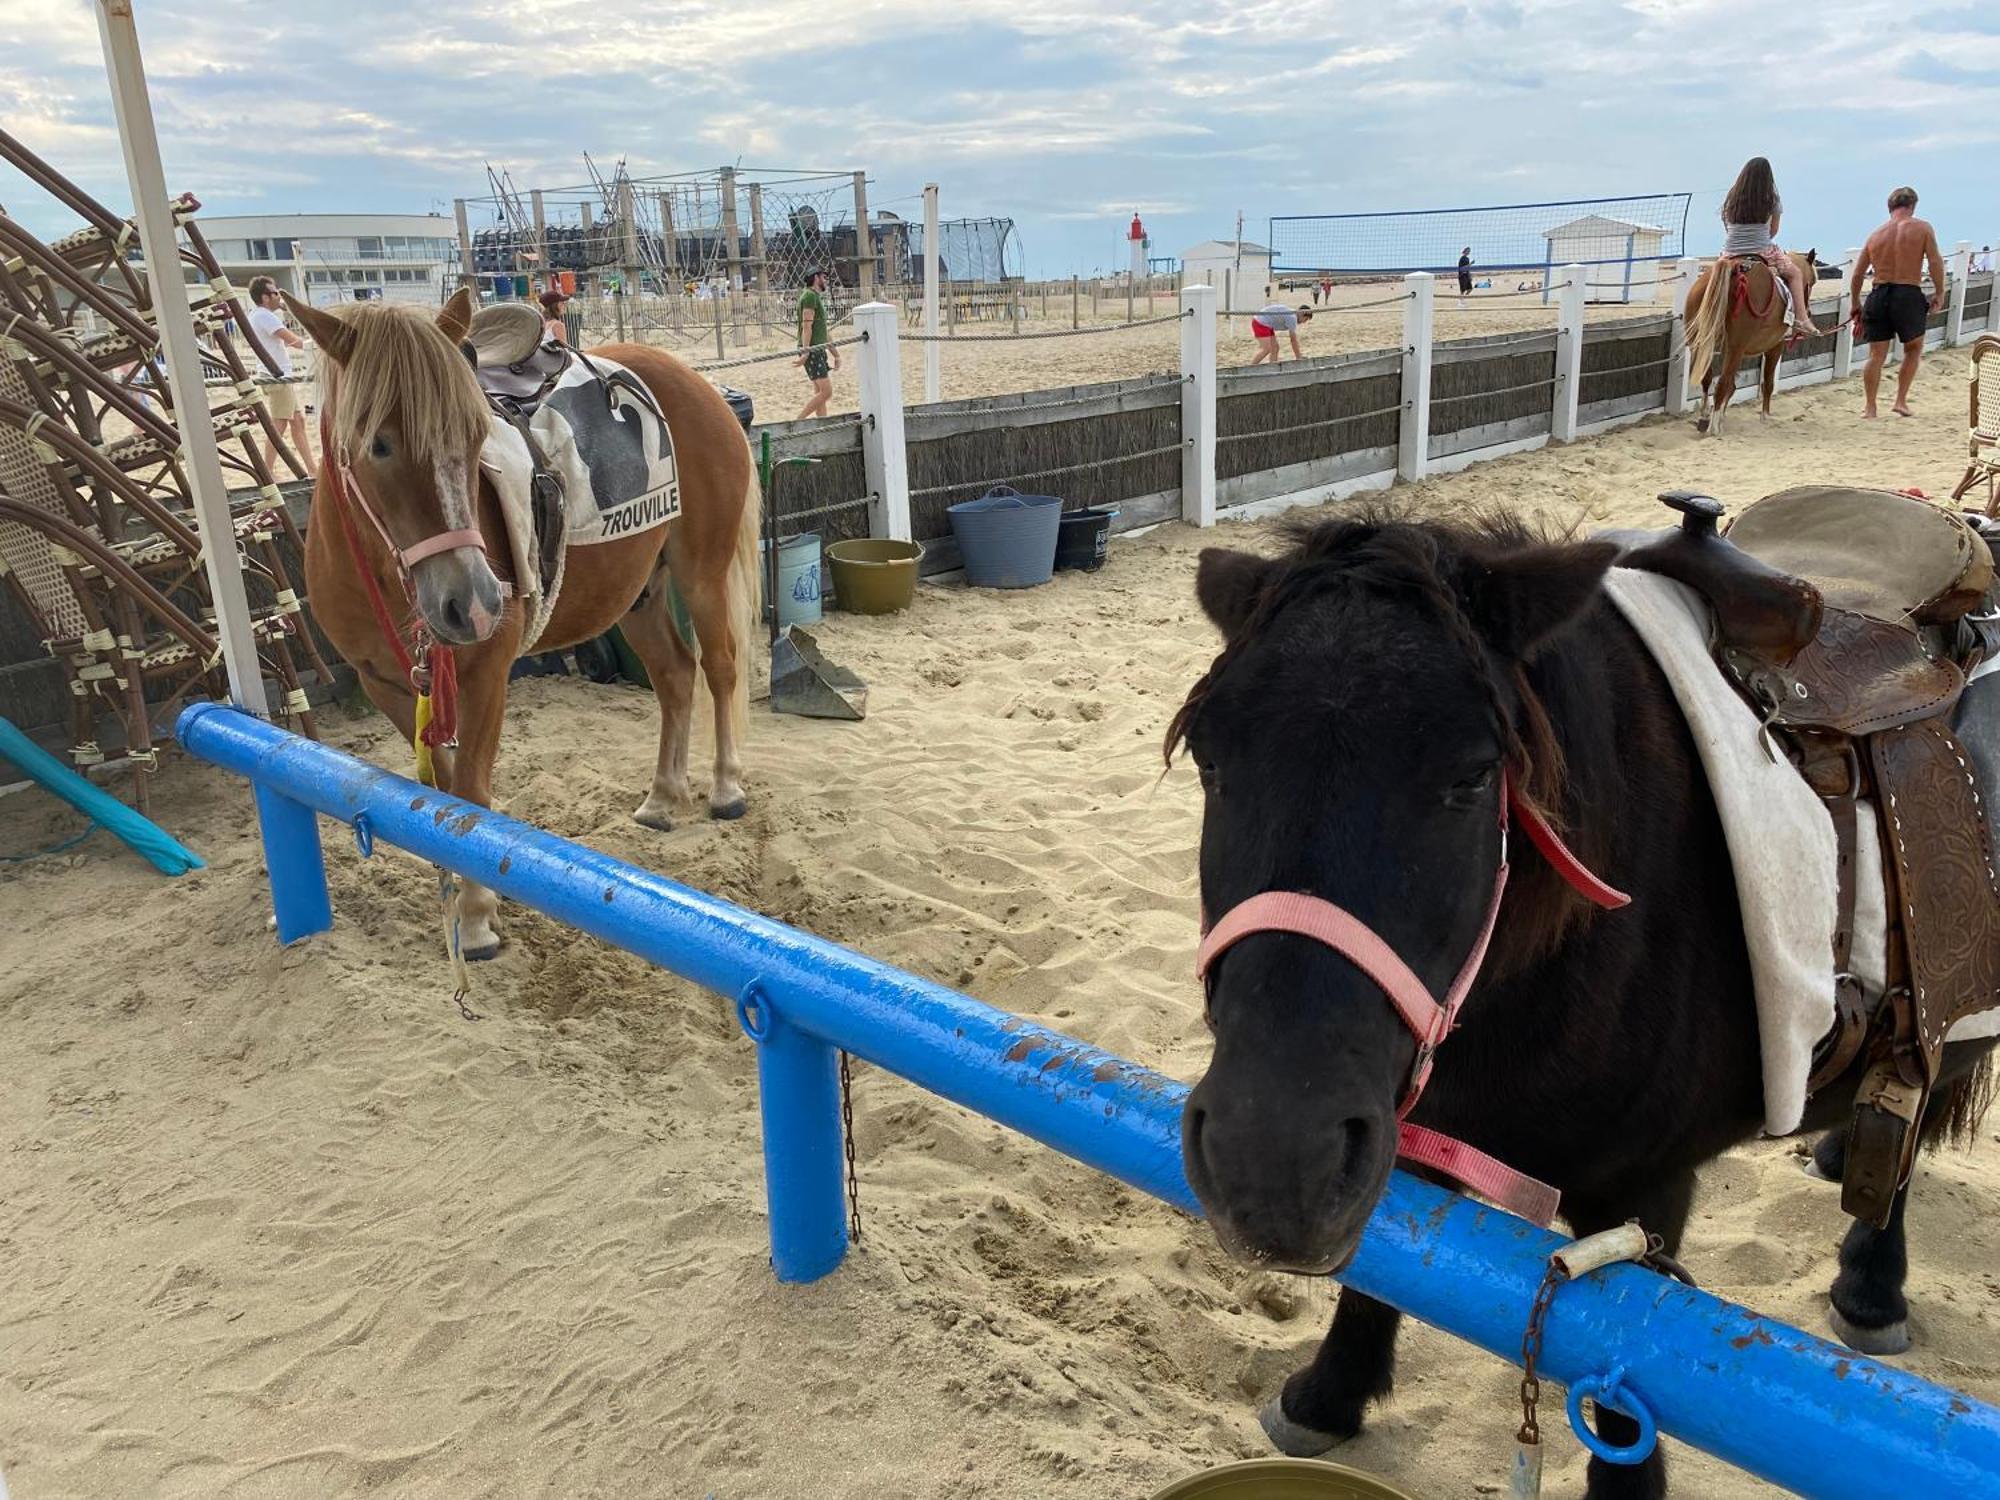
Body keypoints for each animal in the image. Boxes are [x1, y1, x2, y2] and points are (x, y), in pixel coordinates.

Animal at [292, 288, 764, 956]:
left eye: (475, 436)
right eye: (378, 445)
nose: (475, 601)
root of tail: (699, 384)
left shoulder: (487, 672)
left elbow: (469, 795)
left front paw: (474, 916)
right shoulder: (387, 685)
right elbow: (436, 793)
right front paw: (461, 897)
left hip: (702, 573)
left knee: (720, 667)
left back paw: (725, 787)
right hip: (639, 594)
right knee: (675, 676)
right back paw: (663, 797)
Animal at [1168, 516, 1992, 1500]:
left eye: (1473, 776)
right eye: (1210, 758)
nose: (1271, 1163)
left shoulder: (1643, 1198)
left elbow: (1625, 1378)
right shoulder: (1408, 1134)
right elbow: (1385, 1270)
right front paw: (1330, 1395)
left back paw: (1872, 1284)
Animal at [1680, 251, 1824, 434]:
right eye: (1812, 282)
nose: (1808, 312)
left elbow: (1732, 386)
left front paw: (1723, 417)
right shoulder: (1775, 346)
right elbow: (1767, 383)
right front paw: (1765, 416)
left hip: (1701, 343)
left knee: (1708, 379)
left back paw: (1705, 418)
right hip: (1736, 348)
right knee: (1721, 384)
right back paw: (1714, 428)